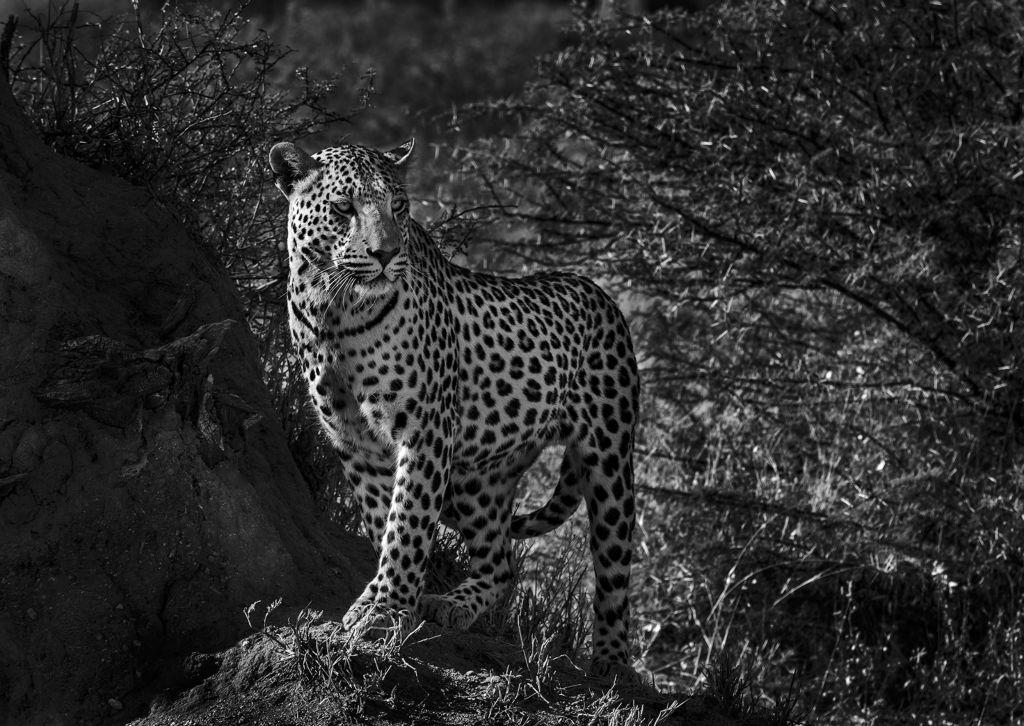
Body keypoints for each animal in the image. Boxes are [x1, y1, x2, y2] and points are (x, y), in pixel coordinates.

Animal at [268, 138, 640, 677]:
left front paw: (384, 612)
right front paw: (387, 599)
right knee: (500, 561)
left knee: (613, 562)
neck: (332, 306)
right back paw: (453, 603)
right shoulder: (353, 441)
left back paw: (610, 662)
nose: (386, 254)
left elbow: (406, 522)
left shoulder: (423, 429)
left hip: (609, 456)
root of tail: (600, 293)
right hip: (476, 479)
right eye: (343, 208)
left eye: (399, 207)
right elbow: (383, 519)